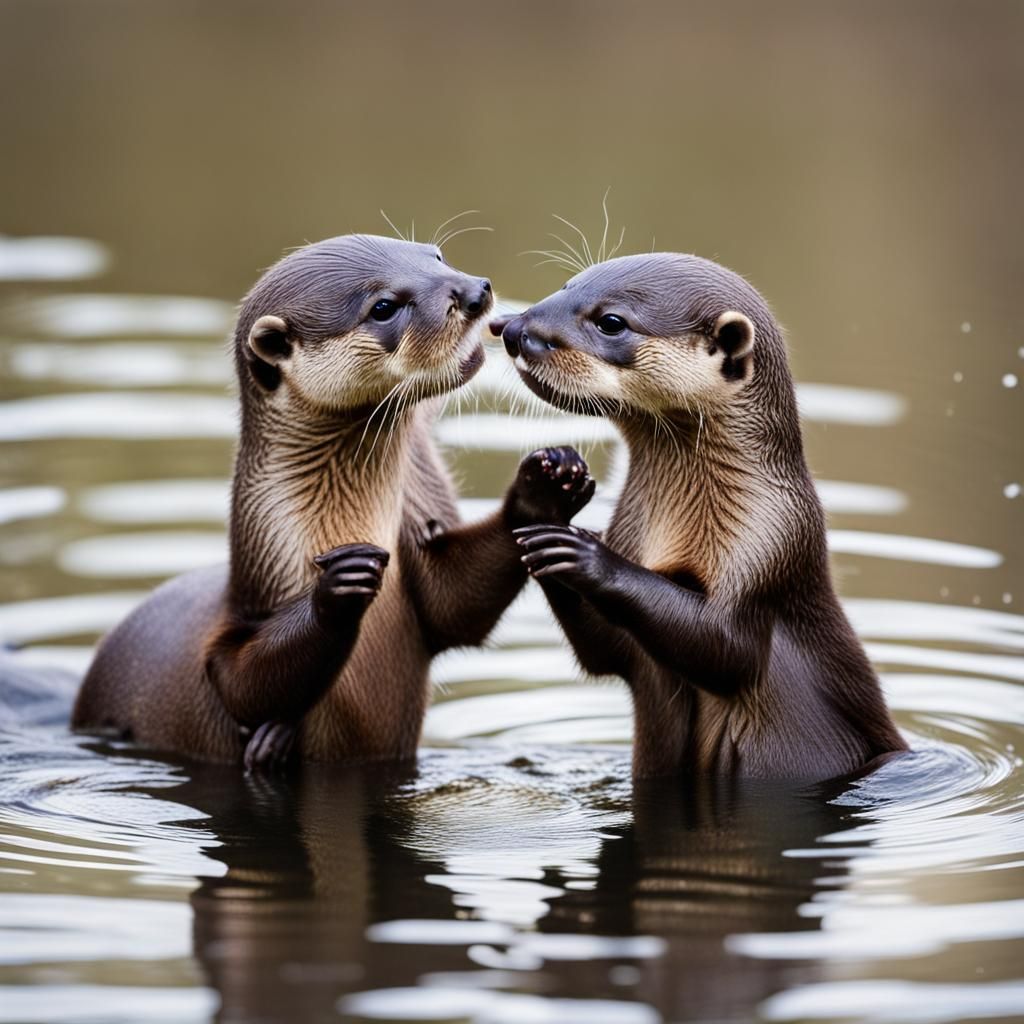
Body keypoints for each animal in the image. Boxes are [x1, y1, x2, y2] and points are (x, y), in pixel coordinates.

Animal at [73, 235, 594, 769]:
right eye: (383, 307)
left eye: (435, 256)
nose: (475, 292)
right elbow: (237, 682)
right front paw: (339, 585)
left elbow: (455, 606)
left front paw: (547, 483)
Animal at [493, 253, 907, 780]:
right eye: (566, 286)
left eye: (612, 322)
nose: (514, 328)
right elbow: (601, 652)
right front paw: (546, 491)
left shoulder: (770, 537)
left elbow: (725, 646)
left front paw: (588, 555)